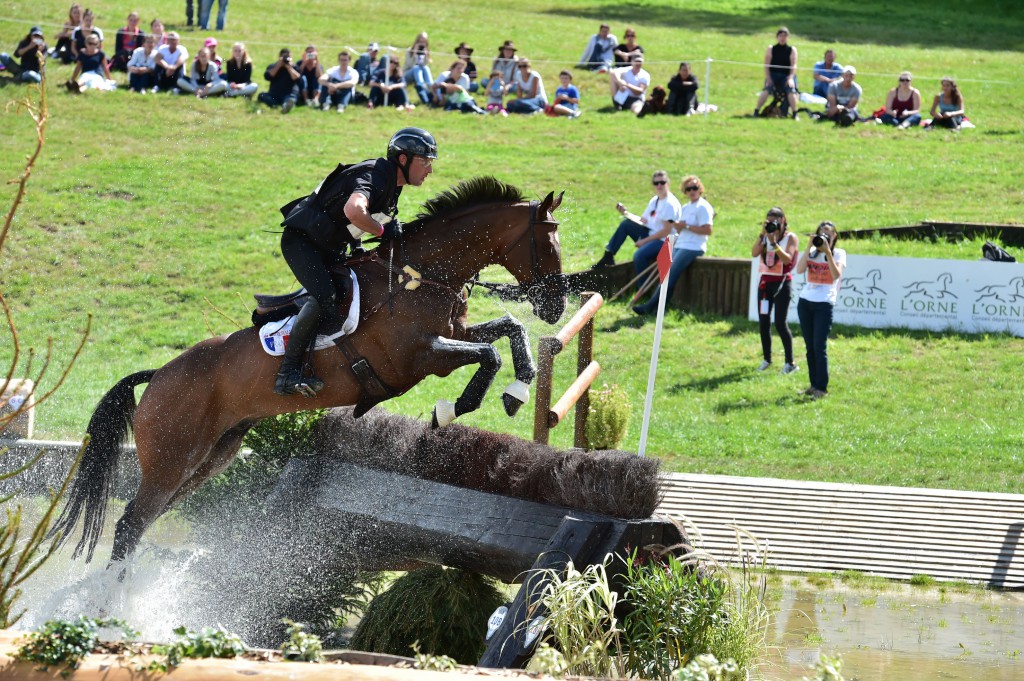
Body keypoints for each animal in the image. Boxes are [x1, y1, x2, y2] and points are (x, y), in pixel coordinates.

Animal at [49, 175, 569, 561]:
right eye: (548, 242)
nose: (556, 306)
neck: (421, 274)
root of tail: (157, 376)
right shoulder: (420, 358)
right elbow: (490, 354)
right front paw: (452, 408)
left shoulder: (452, 334)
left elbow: (509, 333)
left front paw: (516, 392)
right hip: (170, 459)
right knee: (129, 525)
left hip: (209, 459)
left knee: (142, 524)